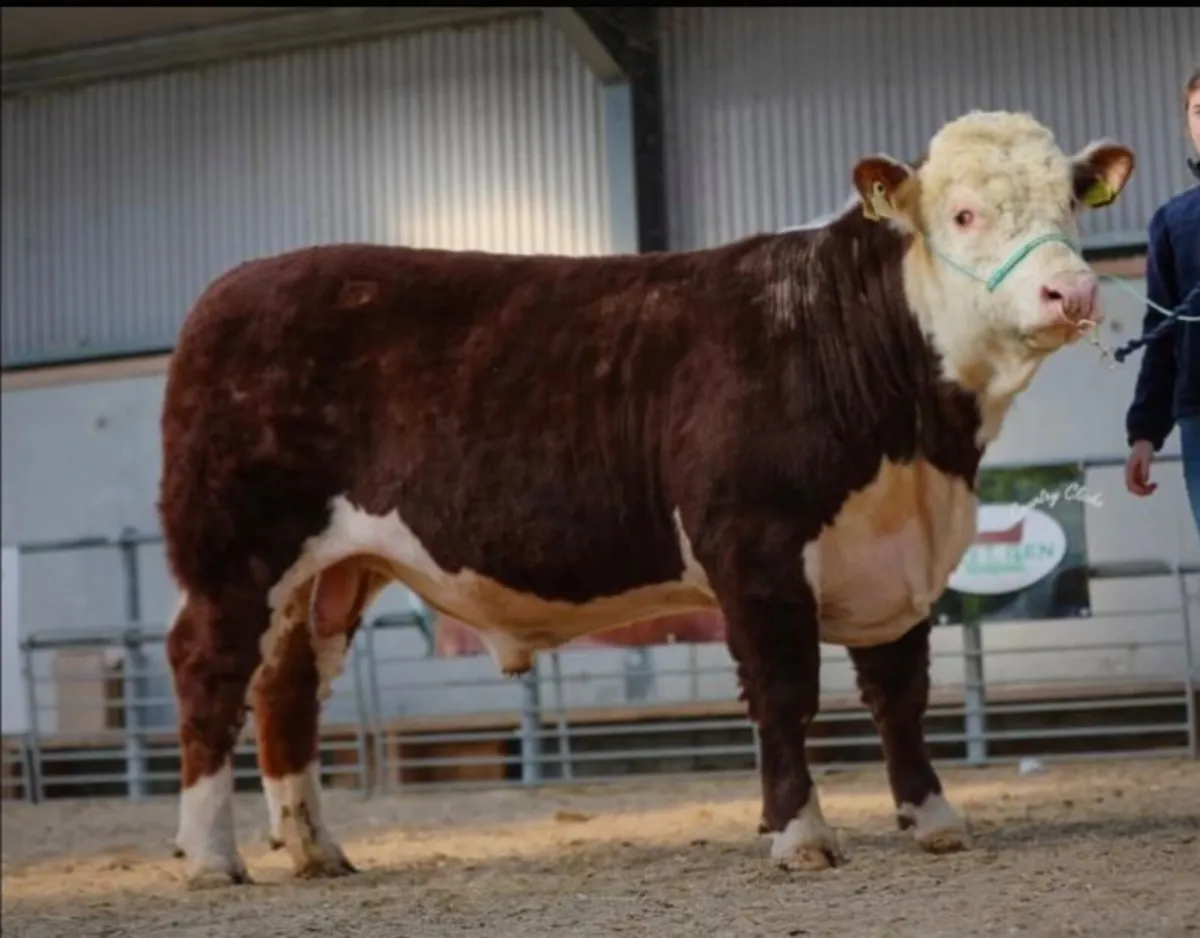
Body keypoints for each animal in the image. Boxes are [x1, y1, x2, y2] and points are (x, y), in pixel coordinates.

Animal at [160, 109, 1134, 886]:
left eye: (1071, 205)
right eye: (964, 214)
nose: (1073, 290)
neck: (918, 449)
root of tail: (232, 288)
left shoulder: (896, 560)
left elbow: (900, 695)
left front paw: (934, 820)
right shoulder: (756, 549)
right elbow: (786, 693)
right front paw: (801, 835)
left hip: (330, 571)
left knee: (288, 687)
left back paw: (315, 851)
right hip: (233, 550)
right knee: (210, 670)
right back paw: (211, 858)